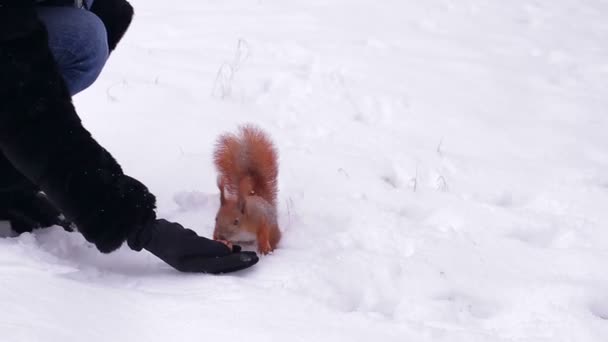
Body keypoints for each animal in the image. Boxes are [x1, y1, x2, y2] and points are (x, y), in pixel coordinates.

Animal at [213, 124, 282, 255]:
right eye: (216, 218)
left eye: (236, 221)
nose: (221, 237)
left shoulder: (259, 218)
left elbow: (263, 230)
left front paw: (263, 247)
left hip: (274, 230)